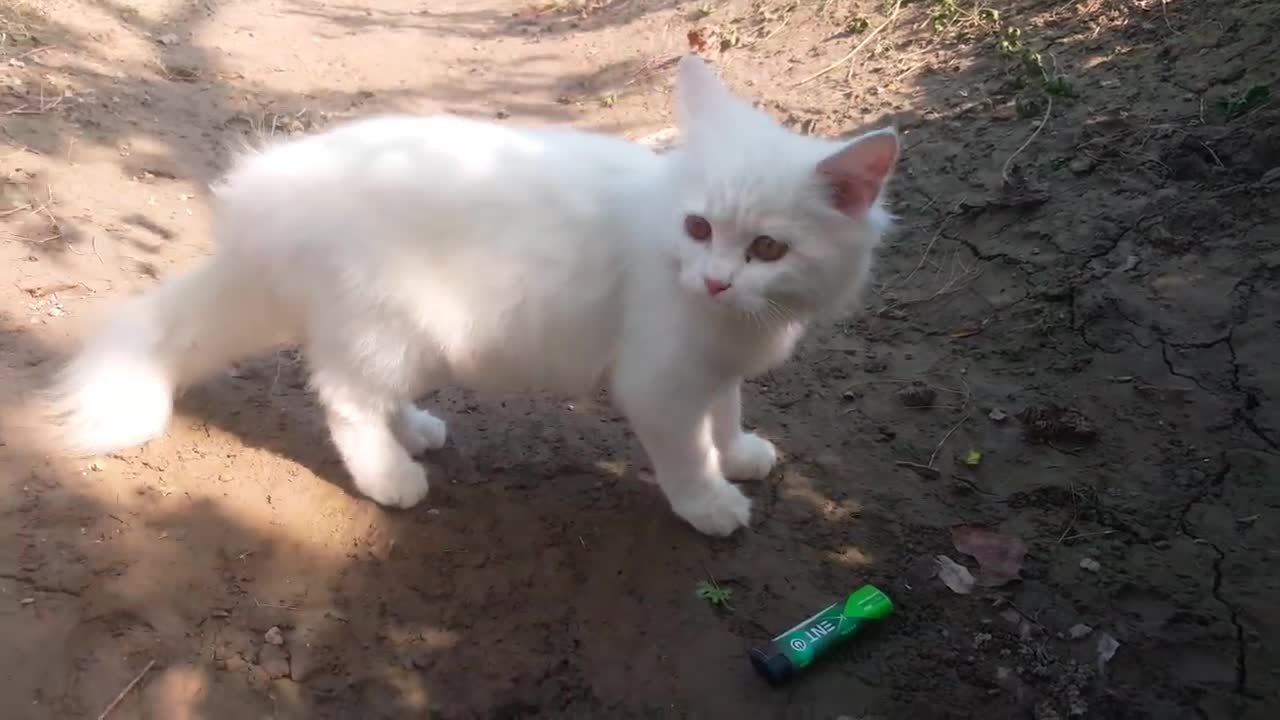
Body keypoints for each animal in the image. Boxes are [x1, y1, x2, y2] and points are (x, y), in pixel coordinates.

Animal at [45, 56, 896, 532]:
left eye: (766, 249)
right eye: (698, 227)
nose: (715, 278)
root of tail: (260, 199)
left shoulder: (714, 370)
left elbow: (726, 416)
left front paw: (742, 454)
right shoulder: (661, 383)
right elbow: (687, 456)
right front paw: (711, 505)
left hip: (402, 341)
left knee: (370, 395)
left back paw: (416, 434)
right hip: (392, 328)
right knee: (344, 401)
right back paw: (391, 478)